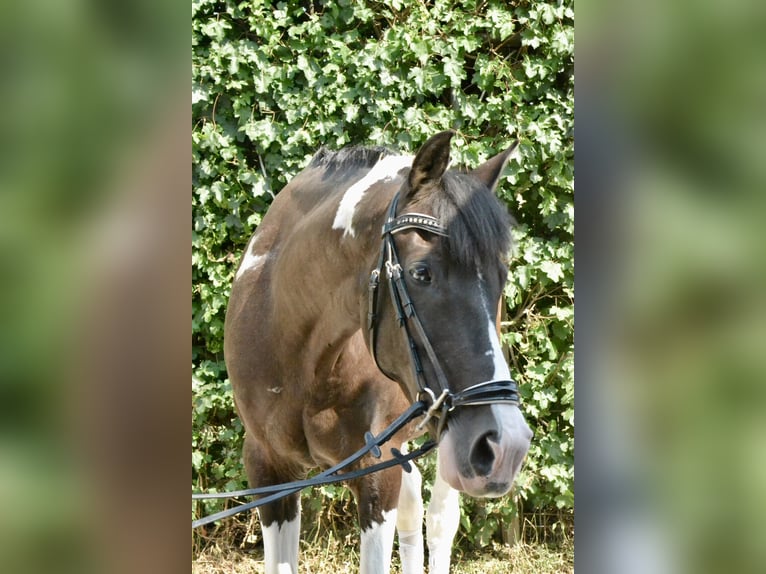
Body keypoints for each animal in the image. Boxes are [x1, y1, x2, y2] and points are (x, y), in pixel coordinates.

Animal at [224, 131, 532, 574]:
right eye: (422, 273)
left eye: (501, 277)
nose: (508, 444)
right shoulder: (269, 471)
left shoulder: (376, 473)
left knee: (440, 520)